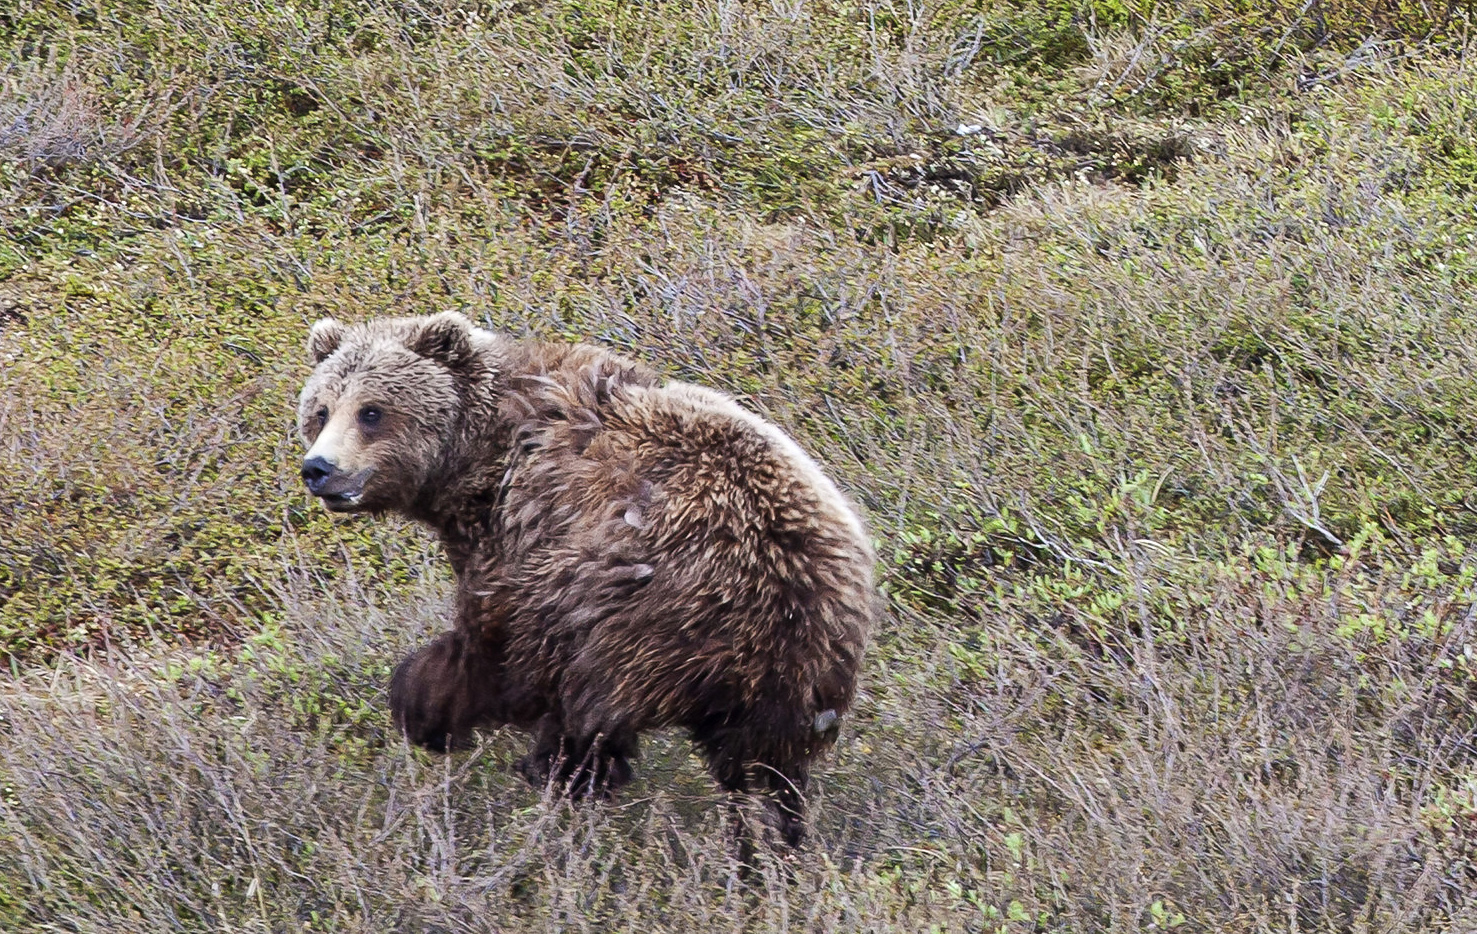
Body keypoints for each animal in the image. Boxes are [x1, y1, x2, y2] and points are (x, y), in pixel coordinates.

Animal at [298, 311, 874, 845]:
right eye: (321, 410)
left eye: (372, 411)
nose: (318, 468)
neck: (478, 461)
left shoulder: (525, 528)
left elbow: (493, 644)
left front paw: (422, 701)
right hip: (798, 682)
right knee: (767, 775)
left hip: (643, 609)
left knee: (585, 706)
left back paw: (557, 777)